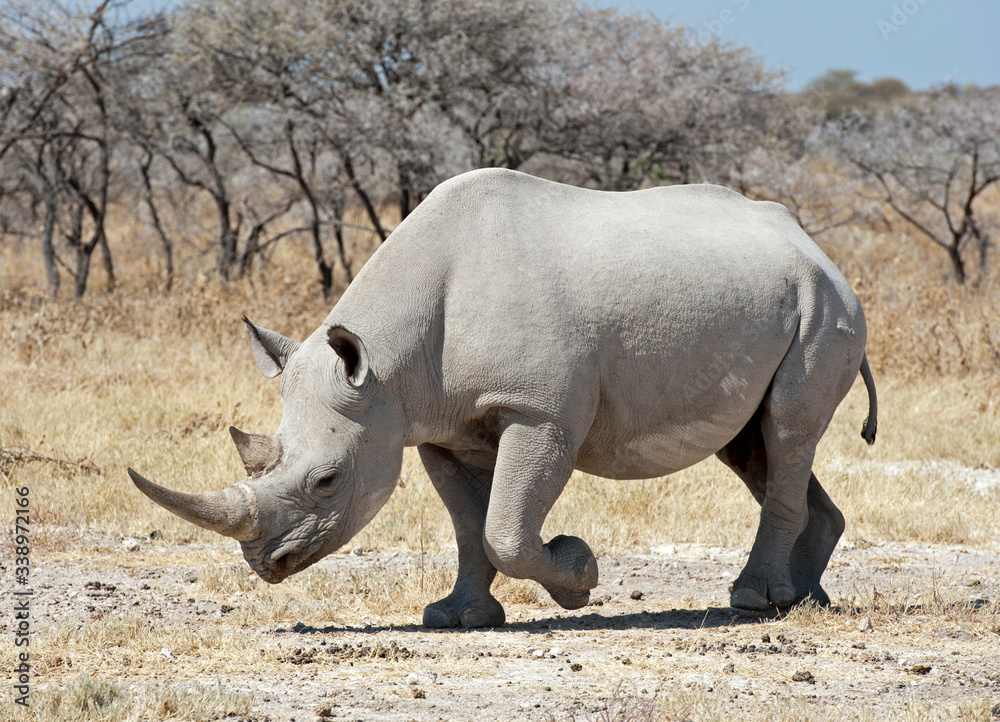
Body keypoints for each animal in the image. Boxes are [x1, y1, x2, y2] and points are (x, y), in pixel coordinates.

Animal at [129, 168, 877, 628]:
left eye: (327, 481)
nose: (265, 564)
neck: (386, 367)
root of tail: (819, 248)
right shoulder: (430, 421)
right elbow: (469, 524)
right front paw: (458, 617)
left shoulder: (539, 410)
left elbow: (505, 527)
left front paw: (577, 576)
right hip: (780, 299)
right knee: (753, 446)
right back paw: (804, 601)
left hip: (824, 308)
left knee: (785, 430)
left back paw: (755, 602)